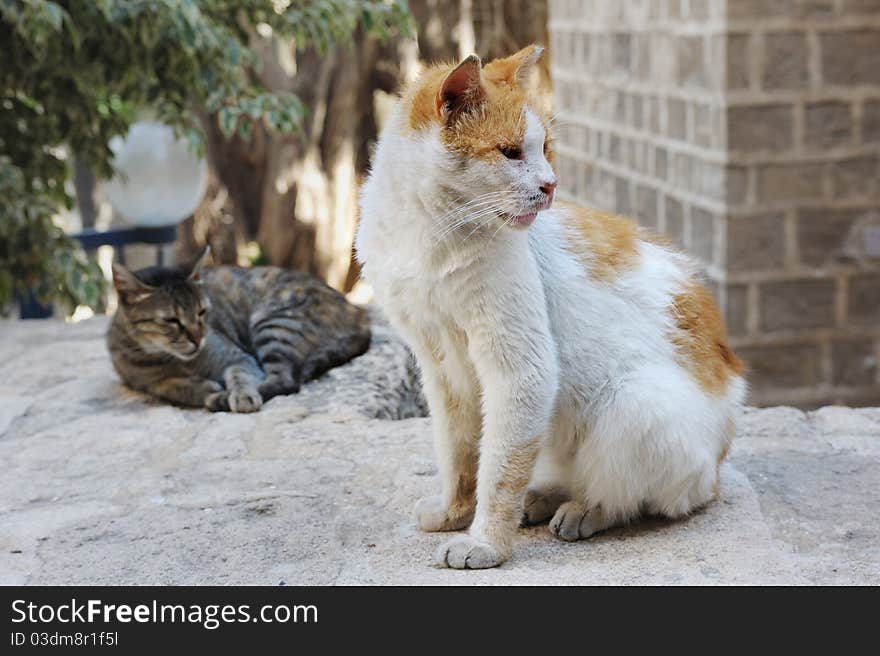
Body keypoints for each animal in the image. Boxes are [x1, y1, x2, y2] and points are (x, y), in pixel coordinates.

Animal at [107, 249, 372, 412]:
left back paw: (226, 398)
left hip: (273, 324)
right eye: (172, 320)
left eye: (202, 312)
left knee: (285, 381)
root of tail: (358, 312)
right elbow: (172, 386)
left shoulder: (238, 357)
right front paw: (202, 387)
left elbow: (240, 376)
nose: (198, 339)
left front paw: (239, 393)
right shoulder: (145, 383)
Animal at [354, 46, 744, 568]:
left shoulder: (521, 371)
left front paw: (486, 542)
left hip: (635, 406)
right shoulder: (439, 369)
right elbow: (460, 454)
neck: (427, 232)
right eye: (510, 152)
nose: (551, 185)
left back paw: (583, 511)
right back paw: (543, 498)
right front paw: (455, 512)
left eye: (546, 148)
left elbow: (499, 471)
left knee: (638, 497)